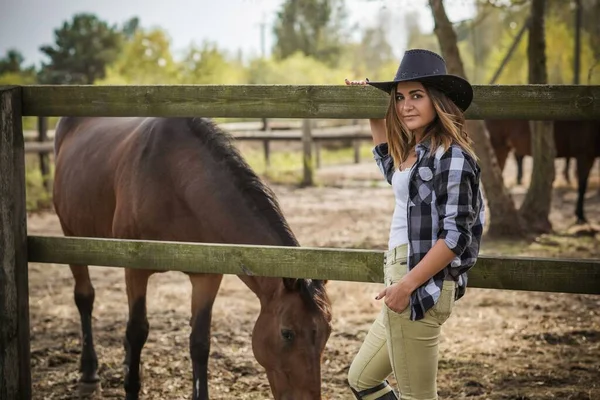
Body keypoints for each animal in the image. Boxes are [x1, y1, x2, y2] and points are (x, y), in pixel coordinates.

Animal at [52, 114, 332, 398]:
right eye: (287, 333)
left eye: (327, 333)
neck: (173, 179)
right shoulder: (135, 268)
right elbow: (137, 331)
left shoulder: (206, 275)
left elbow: (199, 341)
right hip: (70, 234)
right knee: (85, 297)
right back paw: (89, 373)